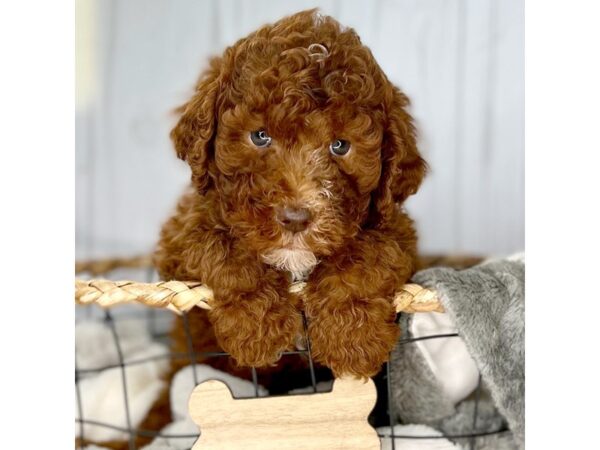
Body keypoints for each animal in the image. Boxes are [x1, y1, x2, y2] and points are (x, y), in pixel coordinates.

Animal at [155, 8, 426, 378]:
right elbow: (219, 243)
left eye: (340, 145)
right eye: (260, 136)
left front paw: (352, 341)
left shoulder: (396, 228)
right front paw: (257, 330)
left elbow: (369, 252)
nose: (295, 219)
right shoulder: (179, 239)